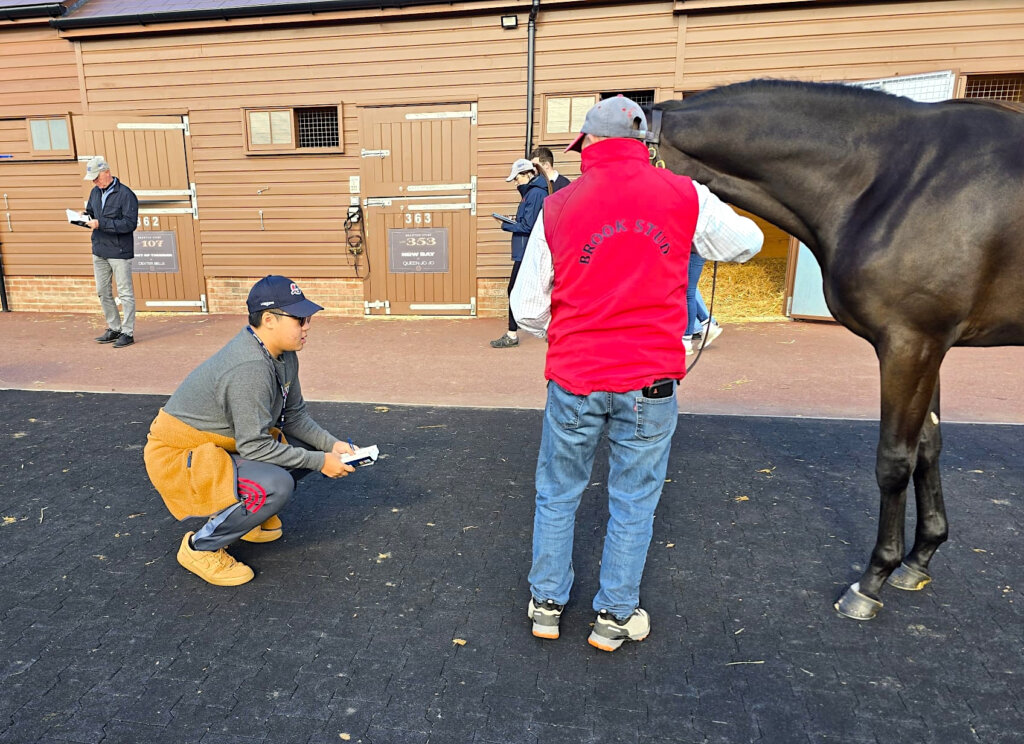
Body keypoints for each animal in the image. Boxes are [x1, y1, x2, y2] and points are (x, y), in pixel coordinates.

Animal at [648, 79, 1024, 620]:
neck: (889, 182)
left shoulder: (910, 342)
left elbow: (894, 460)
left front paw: (873, 579)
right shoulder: (932, 345)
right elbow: (928, 447)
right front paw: (920, 557)